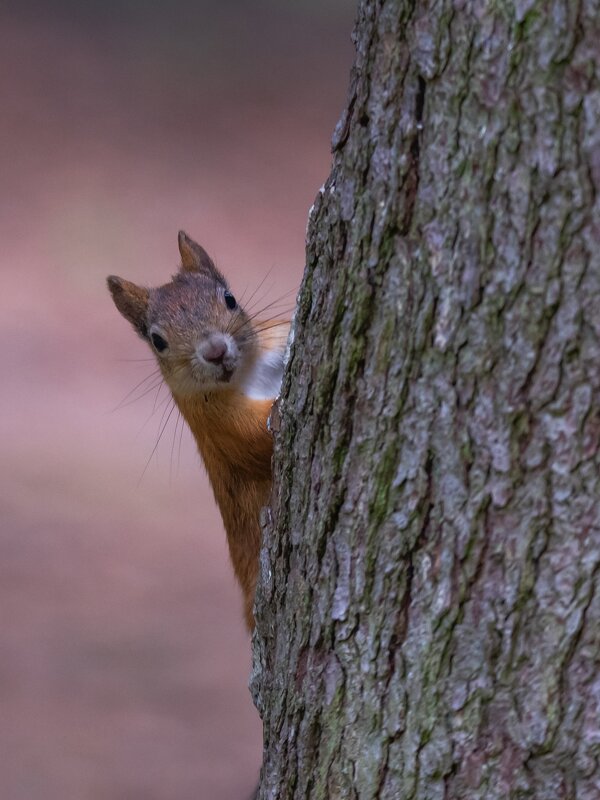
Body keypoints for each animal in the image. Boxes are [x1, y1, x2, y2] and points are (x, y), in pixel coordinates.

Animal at [108, 231, 290, 632]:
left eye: (230, 299)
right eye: (157, 341)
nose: (215, 351)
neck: (249, 374)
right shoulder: (220, 427)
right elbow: (258, 438)